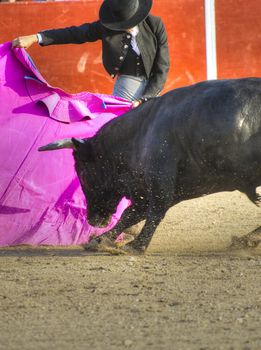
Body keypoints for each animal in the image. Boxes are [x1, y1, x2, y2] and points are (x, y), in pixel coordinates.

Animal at [38, 78, 260, 252]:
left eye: (83, 174)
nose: (93, 220)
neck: (141, 131)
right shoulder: (165, 189)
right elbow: (132, 214)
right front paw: (100, 240)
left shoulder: (160, 179)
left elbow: (154, 212)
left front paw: (135, 246)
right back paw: (246, 240)